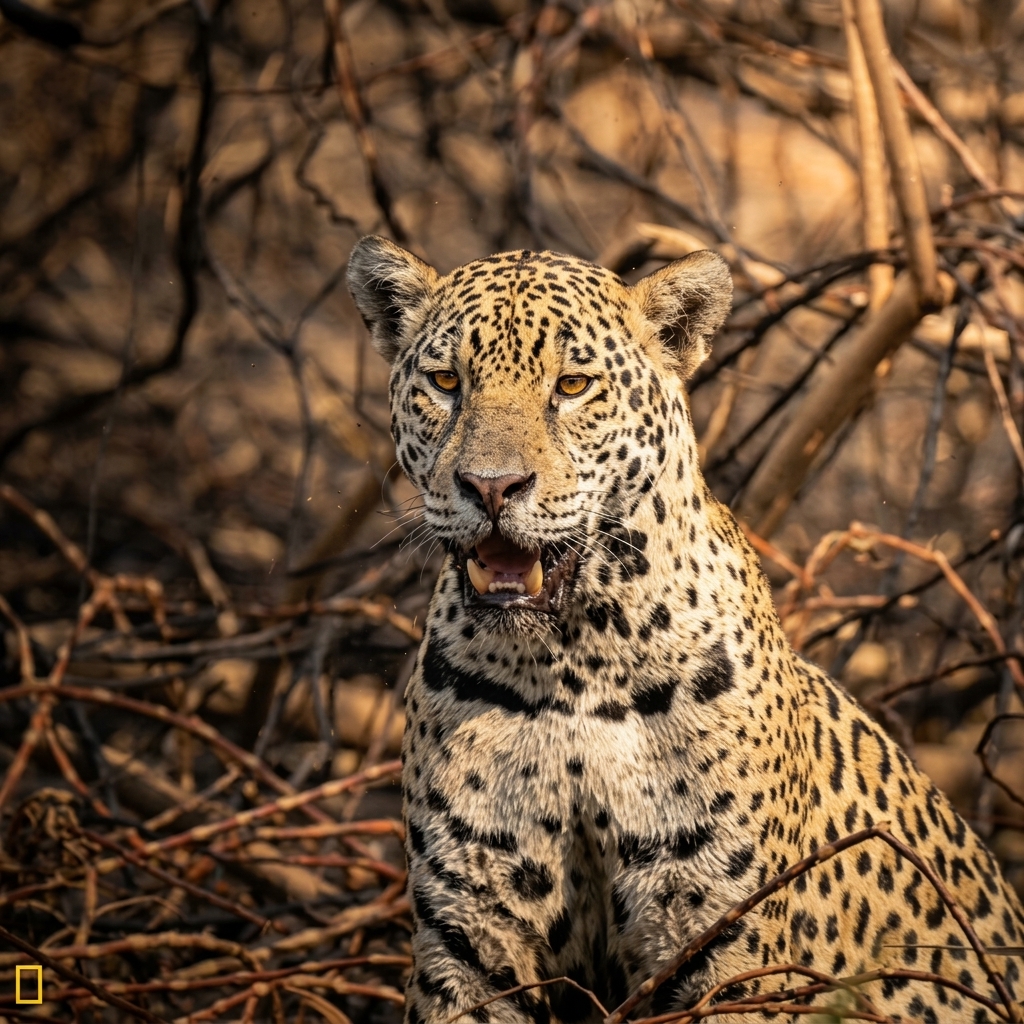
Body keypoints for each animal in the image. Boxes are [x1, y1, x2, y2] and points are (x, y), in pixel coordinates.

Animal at [346, 235, 1024, 1024]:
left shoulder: (719, 935)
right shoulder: (471, 933)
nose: (490, 487)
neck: (570, 661)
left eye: (572, 385)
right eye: (446, 381)